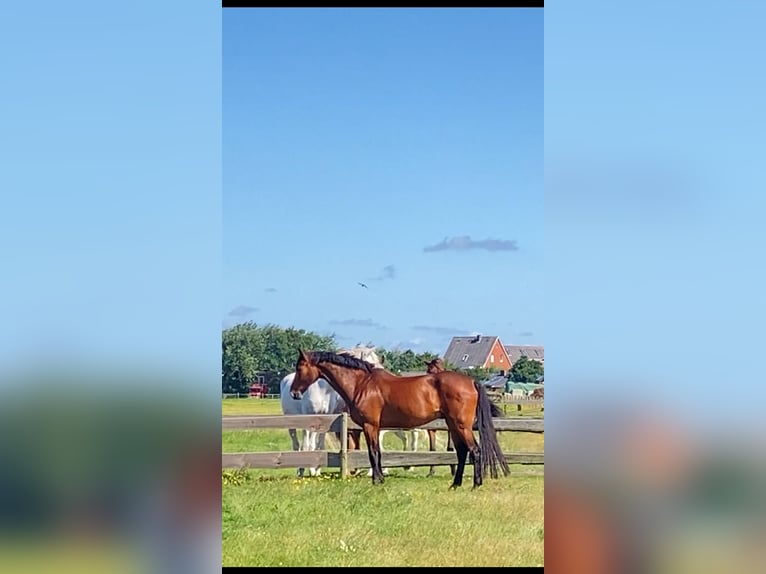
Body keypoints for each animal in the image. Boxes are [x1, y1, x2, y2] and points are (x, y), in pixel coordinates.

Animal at [290, 352, 510, 490]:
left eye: (300, 368)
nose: (293, 393)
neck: (362, 384)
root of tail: (471, 381)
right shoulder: (375, 428)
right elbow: (377, 453)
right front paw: (379, 478)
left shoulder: (371, 426)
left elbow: (373, 452)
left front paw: (377, 480)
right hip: (453, 425)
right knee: (462, 452)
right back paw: (455, 485)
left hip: (461, 426)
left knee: (475, 451)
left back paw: (475, 484)